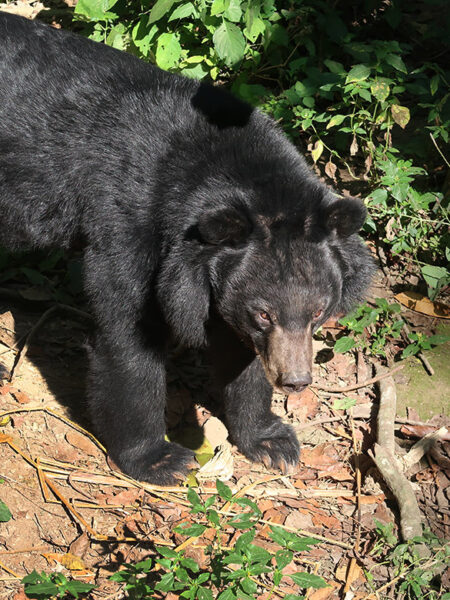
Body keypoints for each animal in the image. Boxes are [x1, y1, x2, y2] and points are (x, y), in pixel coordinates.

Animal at [0, 11, 372, 486]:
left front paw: (271, 443)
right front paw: (161, 459)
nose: (295, 381)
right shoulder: (128, 221)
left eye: (318, 312)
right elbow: (129, 334)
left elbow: (240, 352)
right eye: (263, 313)